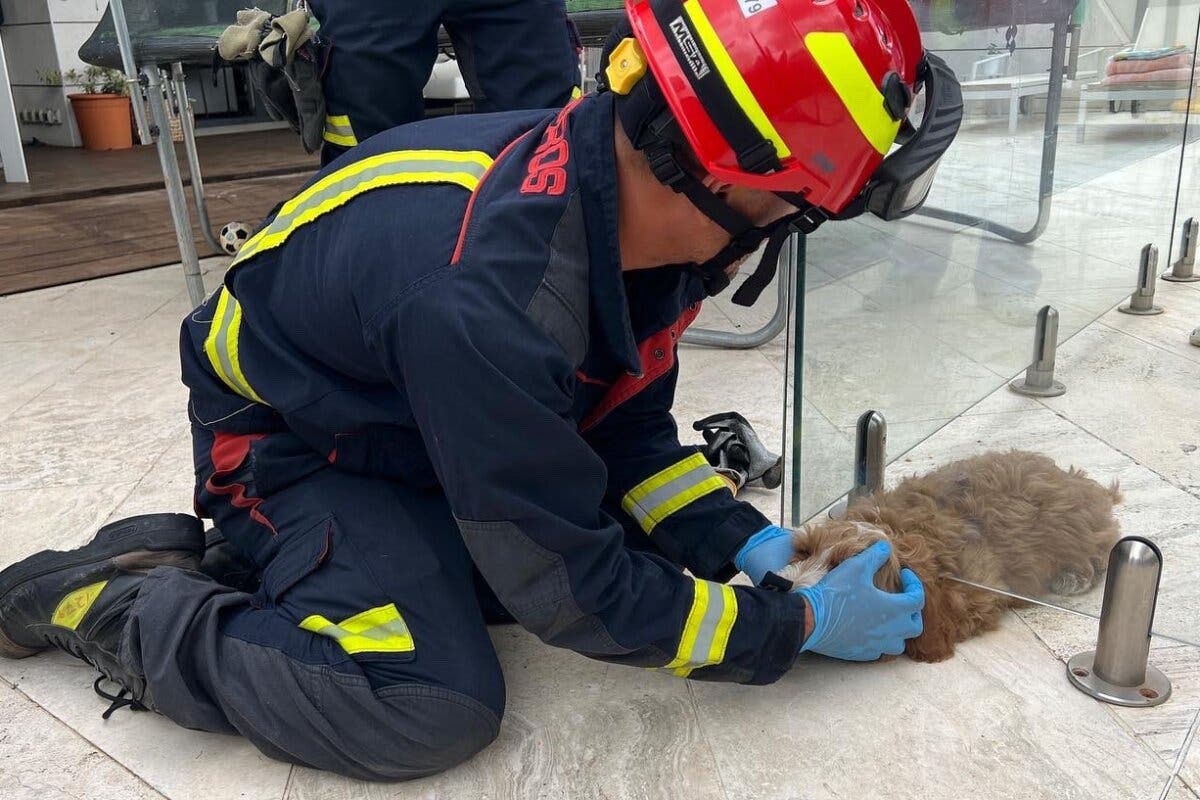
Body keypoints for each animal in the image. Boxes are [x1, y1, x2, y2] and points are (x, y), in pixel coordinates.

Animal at [782, 450, 1118, 662]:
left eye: (842, 565)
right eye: (804, 550)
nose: (785, 590)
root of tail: (1075, 480)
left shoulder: (976, 595)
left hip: (1076, 530)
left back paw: (1075, 575)